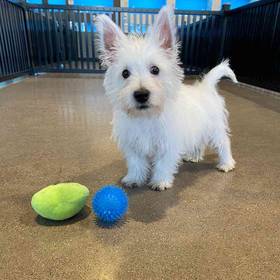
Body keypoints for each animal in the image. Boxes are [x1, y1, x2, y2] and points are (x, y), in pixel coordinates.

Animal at [96, 6, 236, 190]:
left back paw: (226, 163)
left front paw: (160, 181)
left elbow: (163, 164)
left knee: (224, 143)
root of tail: (206, 87)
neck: (146, 117)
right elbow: (136, 163)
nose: (141, 94)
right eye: (125, 73)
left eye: (155, 69)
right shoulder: (133, 144)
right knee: (199, 142)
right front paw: (134, 178)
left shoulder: (169, 143)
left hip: (215, 129)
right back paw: (194, 156)